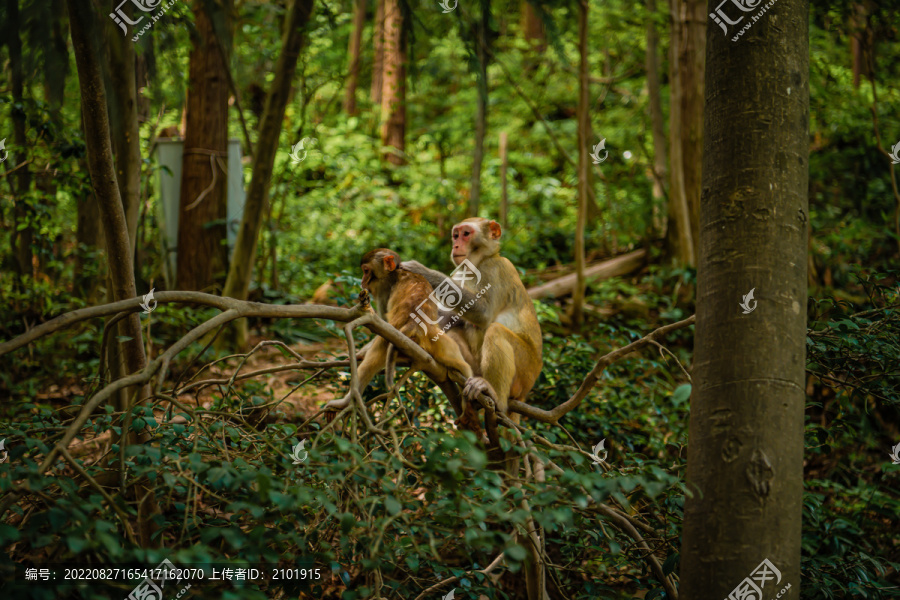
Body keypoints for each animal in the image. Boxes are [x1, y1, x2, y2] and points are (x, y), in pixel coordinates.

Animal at [404, 218, 544, 428]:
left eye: (466, 234)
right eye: (456, 235)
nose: (455, 245)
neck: (476, 266)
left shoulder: (497, 269)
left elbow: (484, 314)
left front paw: (424, 271)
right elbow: (446, 320)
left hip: (526, 371)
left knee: (495, 331)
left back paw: (494, 395)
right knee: (454, 332)